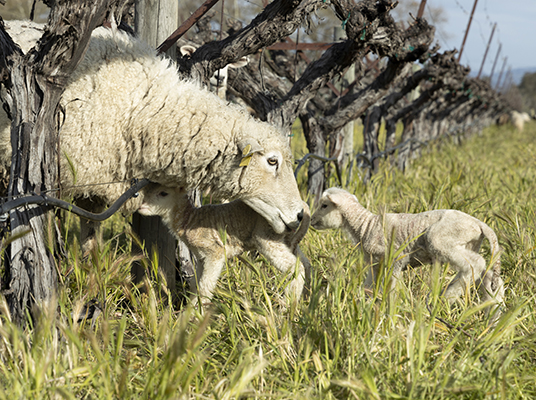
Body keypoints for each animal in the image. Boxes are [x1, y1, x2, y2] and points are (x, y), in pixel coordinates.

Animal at [0, 23, 306, 248]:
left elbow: (91, 242)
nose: (301, 214)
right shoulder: (59, 180)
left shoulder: (95, 182)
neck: (143, 107)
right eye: (272, 161)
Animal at [138, 183, 312, 308]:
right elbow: (196, 285)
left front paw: (193, 316)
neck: (189, 220)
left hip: (268, 238)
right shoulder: (200, 257)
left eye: (163, 193)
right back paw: (306, 301)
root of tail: (303, 208)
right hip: (288, 240)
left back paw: (287, 307)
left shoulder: (215, 253)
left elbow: (205, 286)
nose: (141, 206)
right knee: (306, 264)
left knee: (295, 266)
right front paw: (193, 309)